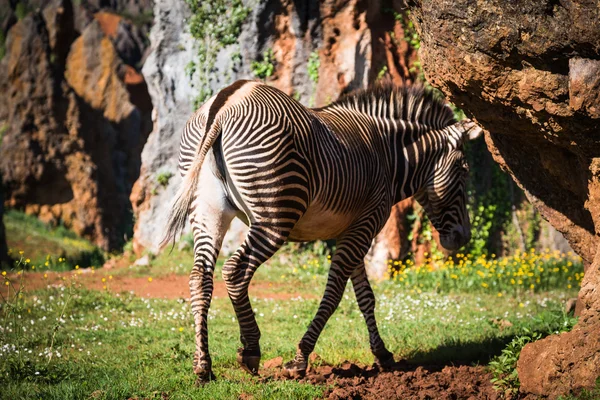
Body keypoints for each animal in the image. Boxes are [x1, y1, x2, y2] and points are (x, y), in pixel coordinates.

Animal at [162, 79, 480, 382]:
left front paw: (383, 355)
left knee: (199, 277)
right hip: (276, 215)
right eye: (464, 170)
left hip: (208, 210)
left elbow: (365, 296)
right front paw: (300, 359)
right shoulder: (365, 224)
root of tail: (226, 103)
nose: (463, 238)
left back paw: (203, 366)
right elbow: (335, 293)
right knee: (235, 271)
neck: (388, 157)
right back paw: (251, 350)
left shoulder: (351, 228)